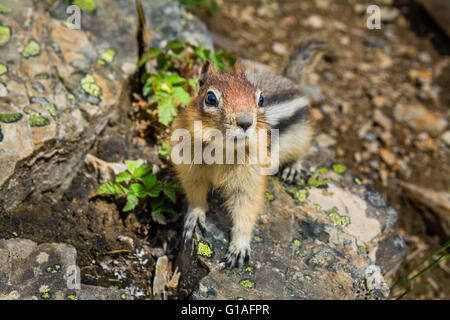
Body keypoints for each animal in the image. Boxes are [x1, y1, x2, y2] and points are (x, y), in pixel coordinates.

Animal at [171, 39, 326, 268]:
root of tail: (288, 80)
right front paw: (195, 217)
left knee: (301, 153)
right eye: (211, 98)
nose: (245, 122)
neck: (222, 149)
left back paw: (293, 169)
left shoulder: (249, 178)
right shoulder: (191, 169)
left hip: (302, 136)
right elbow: (196, 196)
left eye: (261, 99)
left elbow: (246, 209)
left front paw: (239, 246)